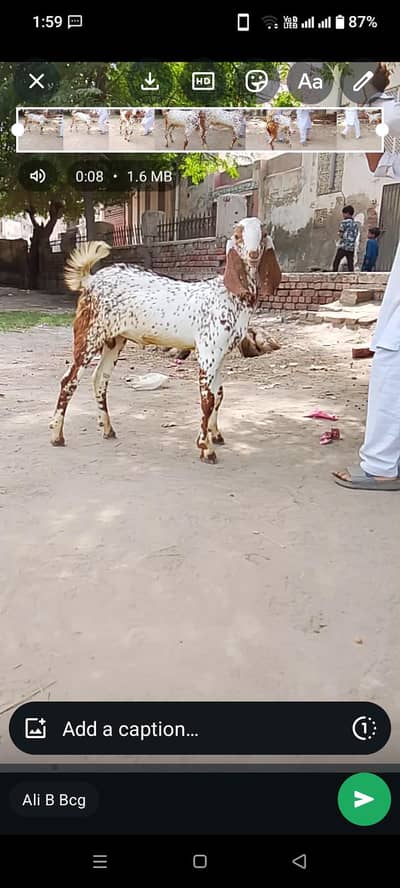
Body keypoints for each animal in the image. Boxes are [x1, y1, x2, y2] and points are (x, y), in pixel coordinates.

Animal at [50, 218, 281, 463]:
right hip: (89, 335)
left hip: (115, 339)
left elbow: (218, 394)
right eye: (237, 236)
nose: (254, 254)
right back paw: (57, 435)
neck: (228, 295)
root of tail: (90, 280)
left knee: (100, 378)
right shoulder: (208, 353)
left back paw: (107, 429)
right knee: (69, 380)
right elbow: (207, 400)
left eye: (264, 233)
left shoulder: (220, 356)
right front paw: (206, 447)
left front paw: (215, 434)